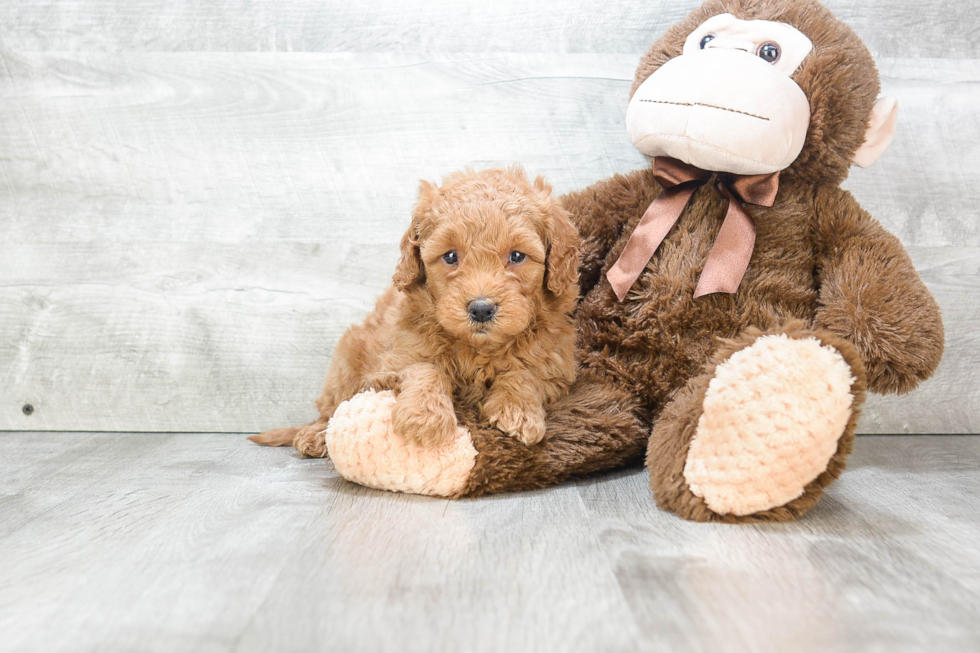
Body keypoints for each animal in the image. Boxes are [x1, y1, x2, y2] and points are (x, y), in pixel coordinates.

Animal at [249, 166, 580, 456]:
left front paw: (517, 411)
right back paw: (315, 435)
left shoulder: (555, 364)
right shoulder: (393, 361)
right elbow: (425, 368)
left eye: (517, 256)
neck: (477, 348)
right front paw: (425, 417)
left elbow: (525, 373)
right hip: (345, 361)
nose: (481, 309)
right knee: (332, 408)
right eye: (450, 256)